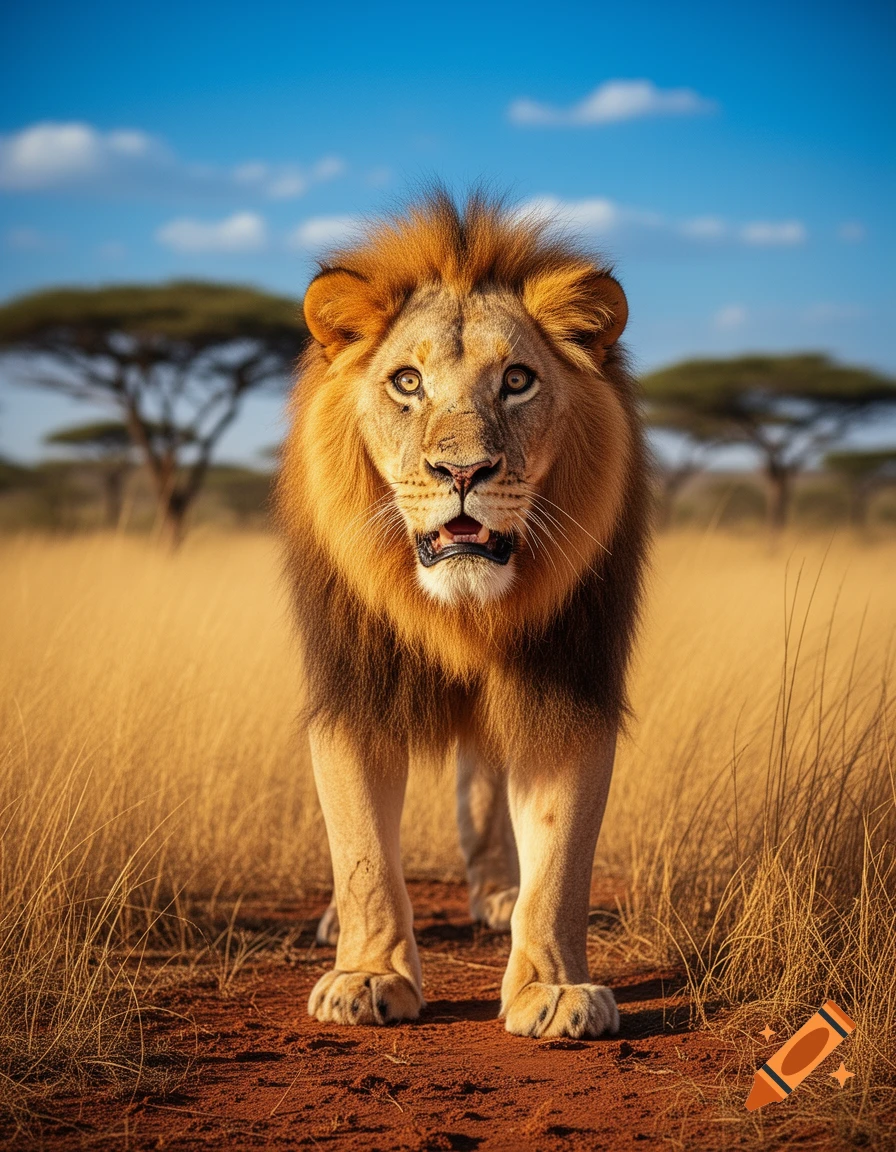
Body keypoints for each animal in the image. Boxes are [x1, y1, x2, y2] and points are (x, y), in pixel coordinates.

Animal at [275, 190, 650, 1039]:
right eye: (407, 382)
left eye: (517, 380)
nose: (463, 471)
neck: (462, 612)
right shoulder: (356, 689)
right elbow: (364, 854)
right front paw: (366, 975)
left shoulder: (566, 687)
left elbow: (560, 862)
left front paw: (554, 989)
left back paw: (499, 894)